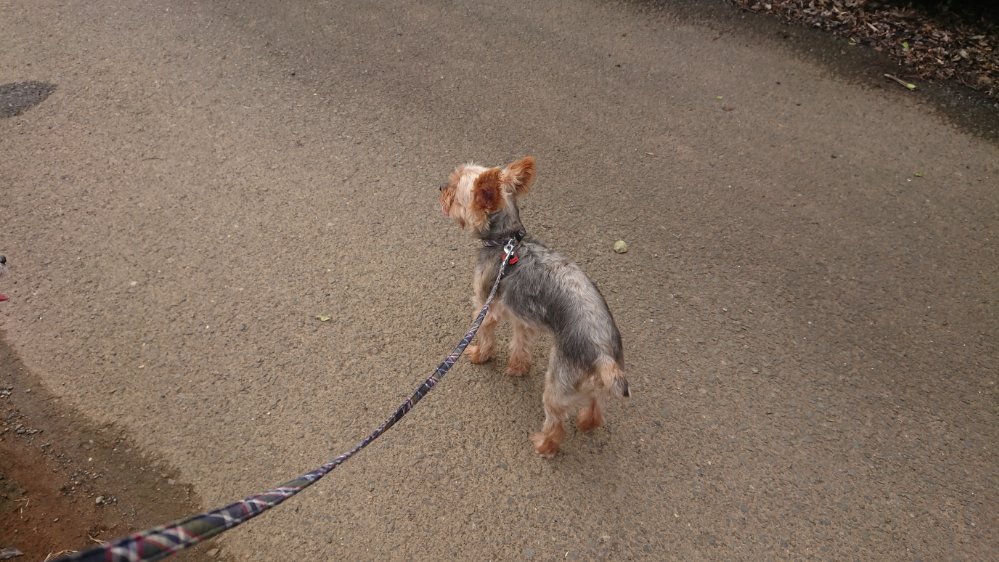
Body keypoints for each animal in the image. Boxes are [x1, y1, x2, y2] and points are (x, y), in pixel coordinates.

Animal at [439, 156, 630, 457]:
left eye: (455, 187)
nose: (440, 188)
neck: (505, 241)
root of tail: (604, 358)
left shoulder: (485, 305)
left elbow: (485, 335)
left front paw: (479, 355)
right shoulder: (522, 318)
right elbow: (520, 345)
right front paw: (518, 368)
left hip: (558, 382)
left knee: (556, 420)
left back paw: (544, 444)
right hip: (588, 383)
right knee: (595, 406)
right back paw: (586, 422)